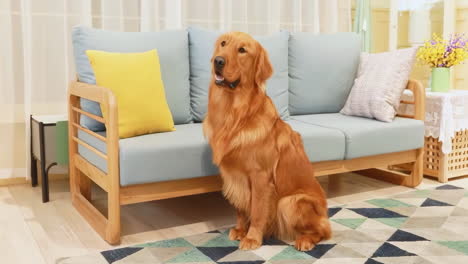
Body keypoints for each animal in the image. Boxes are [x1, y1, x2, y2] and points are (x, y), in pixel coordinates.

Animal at [203, 31, 330, 252]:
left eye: (242, 50)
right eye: (223, 43)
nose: (218, 61)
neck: (236, 116)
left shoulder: (260, 177)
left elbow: (256, 211)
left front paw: (252, 238)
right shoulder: (233, 176)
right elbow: (240, 208)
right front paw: (240, 230)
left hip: (290, 202)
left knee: (323, 230)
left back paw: (305, 240)